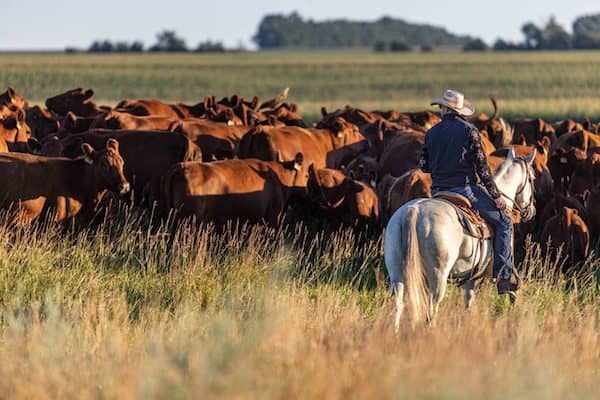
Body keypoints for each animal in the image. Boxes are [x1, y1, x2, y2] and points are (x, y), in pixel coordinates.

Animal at [386, 147, 536, 328]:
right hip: (438, 277)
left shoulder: (470, 280)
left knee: (398, 305)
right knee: (431, 310)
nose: (531, 210)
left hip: (396, 273)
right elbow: (512, 291)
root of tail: (412, 212)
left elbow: (468, 305)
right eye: (533, 178)